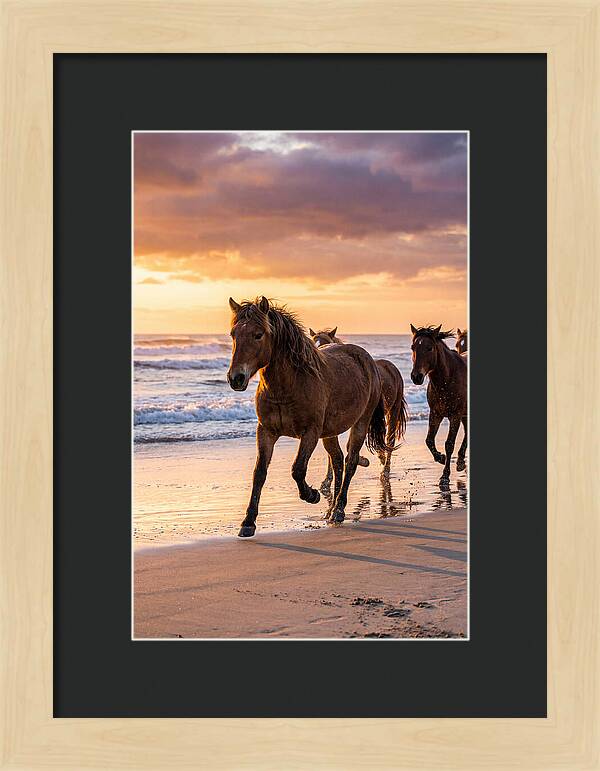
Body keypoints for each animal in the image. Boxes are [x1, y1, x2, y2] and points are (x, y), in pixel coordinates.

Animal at [227, 297, 390, 536]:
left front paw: (312, 495)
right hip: (330, 433)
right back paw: (331, 511)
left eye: (258, 334)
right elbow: (259, 473)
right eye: (233, 334)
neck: (288, 386)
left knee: (350, 461)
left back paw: (339, 509)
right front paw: (248, 522)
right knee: (338, 461)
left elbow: (297, 469)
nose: (236, 378)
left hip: (360, 424)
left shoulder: (310, 433)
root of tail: (369, 361)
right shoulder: (265, 432)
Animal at [310, 327, 408, 481]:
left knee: (389, 440)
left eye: (325, 342)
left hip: (393, 411)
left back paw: (385, 470)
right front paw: (327, 480)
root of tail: (392, 367)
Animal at [410, 324, 467, 484]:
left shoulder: (455, 415)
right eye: (413, 347)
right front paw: (440, 458)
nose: (416, 377)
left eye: (429, 348)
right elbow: (429, 440)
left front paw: (445, 476)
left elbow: (449, 444)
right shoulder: (435, 414)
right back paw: (460, 461)